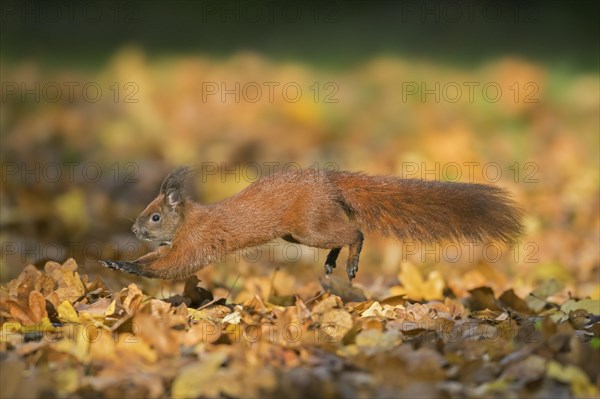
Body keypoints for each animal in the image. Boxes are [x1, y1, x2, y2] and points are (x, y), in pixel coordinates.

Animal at [101, 166, 524, 282]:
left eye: (155, 216)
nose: (135, 231)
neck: (190, 220)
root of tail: (328, 181)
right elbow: (158, 260)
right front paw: (116, 261)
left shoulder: (198, 243)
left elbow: (172, 267)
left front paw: (128, 267)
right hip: (300, 232)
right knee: (341, 234)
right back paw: (333, 262)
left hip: (307, 226)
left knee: (355, 231)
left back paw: (350, 263)